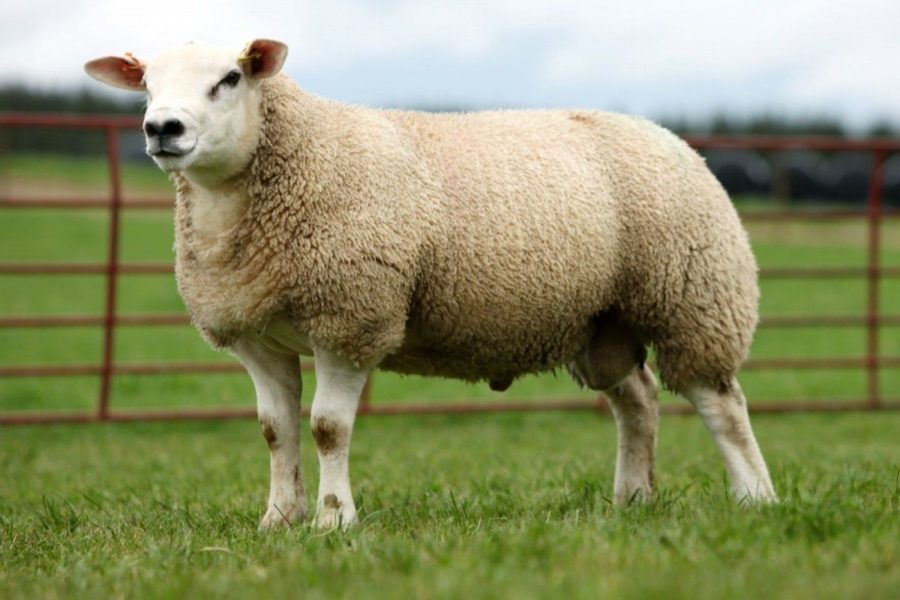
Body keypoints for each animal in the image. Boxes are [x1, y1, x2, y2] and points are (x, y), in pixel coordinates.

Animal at [85, 39, 777, 530]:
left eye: (229, 79)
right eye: (146, 84)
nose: (162, 128)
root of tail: (670, 136)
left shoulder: (350, 318)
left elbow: (327, 428)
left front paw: (335, 522)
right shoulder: (258, 336)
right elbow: (275, 431)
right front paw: (278, 521)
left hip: (694, 297)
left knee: (721, 403)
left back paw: (755, 499)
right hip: (601, 320)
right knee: (638, 399)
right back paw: (632, 500)